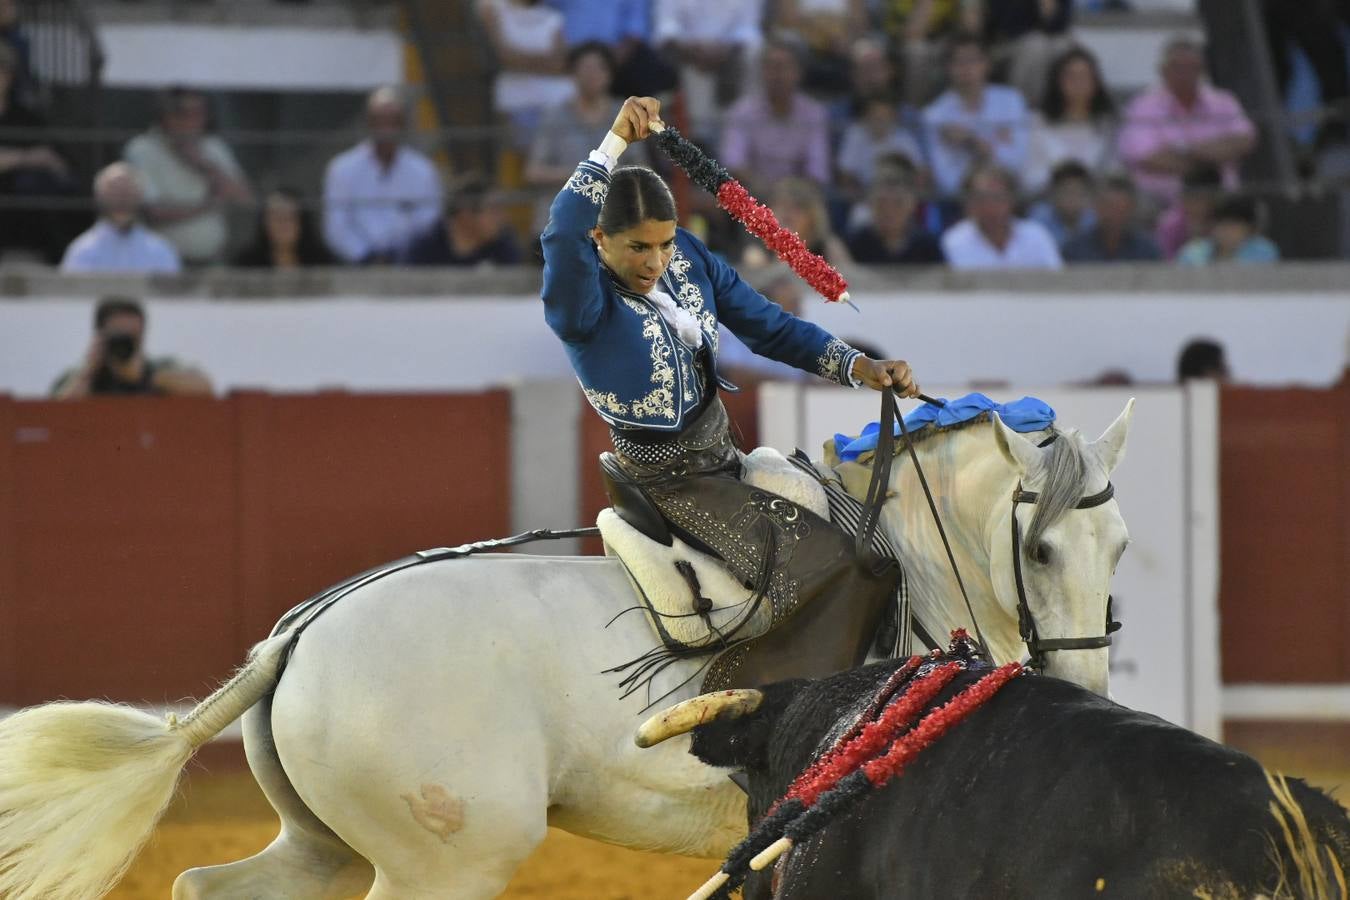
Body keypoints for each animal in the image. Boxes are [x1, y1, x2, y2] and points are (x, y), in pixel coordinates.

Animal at [0, 402, 1134, 900]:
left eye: (1121, 545)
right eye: (1040, 547)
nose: (1082, 680)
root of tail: (299, 636)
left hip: (324, 846)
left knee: (207, 886)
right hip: (446, 865)